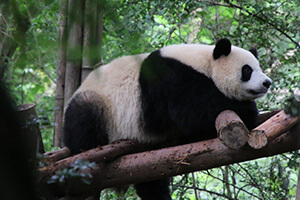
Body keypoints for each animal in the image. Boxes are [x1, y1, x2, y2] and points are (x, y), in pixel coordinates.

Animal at [63, 38, 272, 199]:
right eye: (247, 70)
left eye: (259, 67)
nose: (267, 82)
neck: (204, 61)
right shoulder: (171, 78)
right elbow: (193, 110)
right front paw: (248, 110)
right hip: (101, 107)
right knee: (84, 123)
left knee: (151, 180)